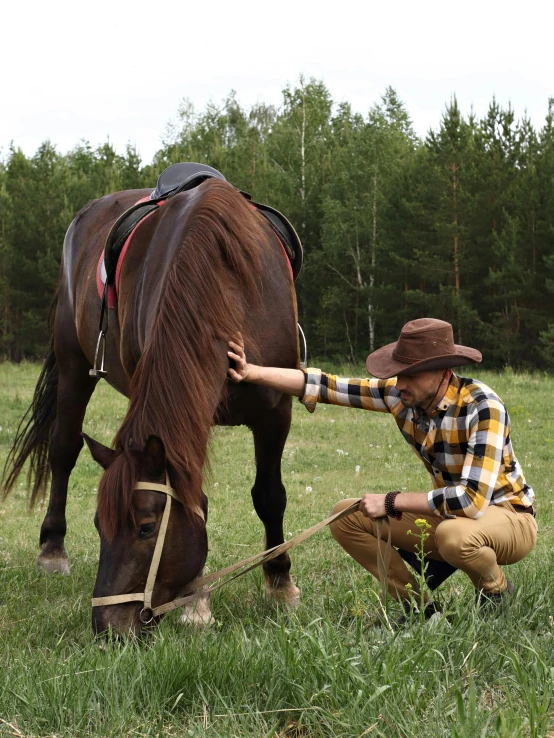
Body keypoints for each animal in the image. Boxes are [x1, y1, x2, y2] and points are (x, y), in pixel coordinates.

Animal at [2, 178, 300, 632]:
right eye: (99, 525)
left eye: (145, 529)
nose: (107, 625)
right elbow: (196, 498)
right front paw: (196, 602)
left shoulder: (276, 411)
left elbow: (270, 496)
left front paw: (280, 586)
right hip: (73, 366)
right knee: (63, 451)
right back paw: (52, 550)